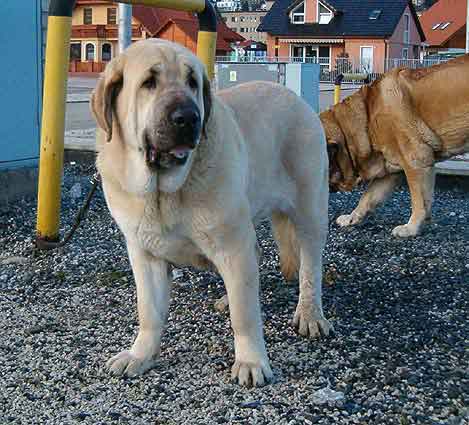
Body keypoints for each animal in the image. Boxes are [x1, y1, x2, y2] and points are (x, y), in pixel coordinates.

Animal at [320, 54, 468, 237]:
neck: (367, 121)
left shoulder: (416, 162)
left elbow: (419, 201)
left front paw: (411, 228)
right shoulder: (389, 171)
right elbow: (367, 198)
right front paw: (351, 218)